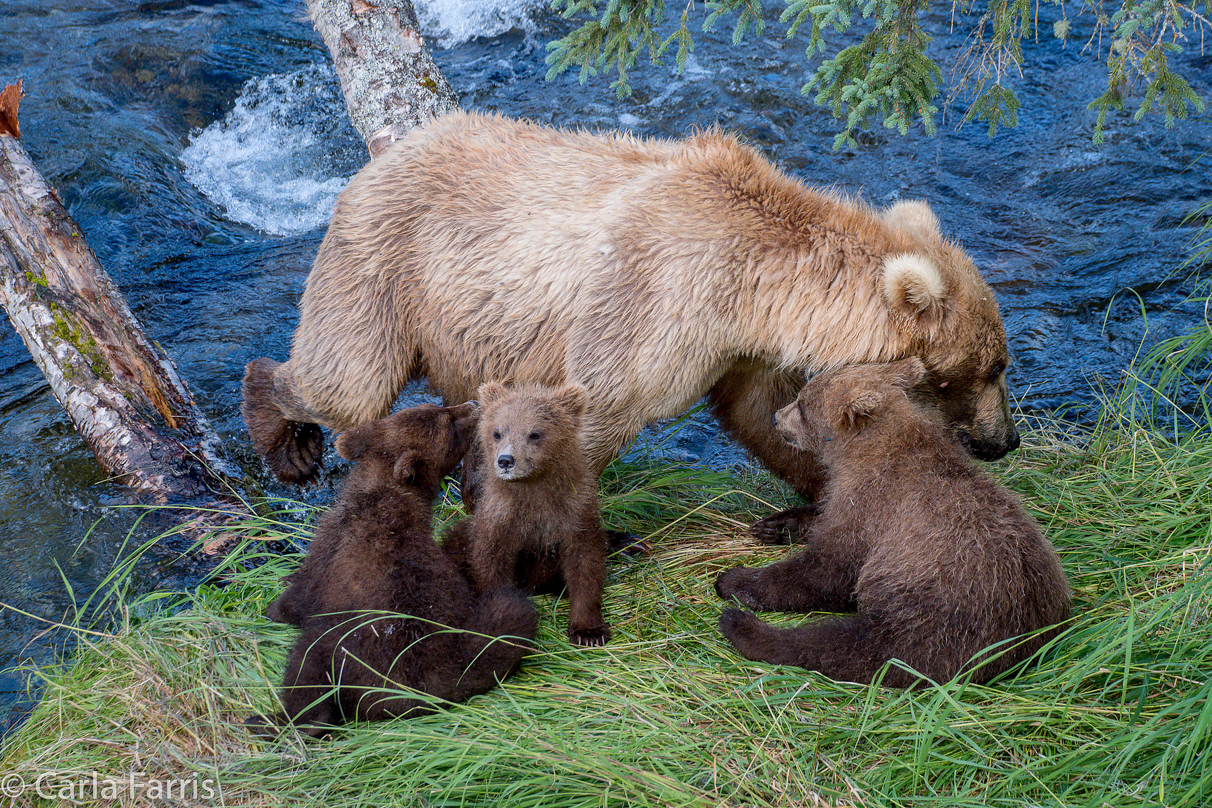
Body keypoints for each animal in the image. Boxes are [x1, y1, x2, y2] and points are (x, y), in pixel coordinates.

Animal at [241, 113, 1018, 530]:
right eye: (988, 371)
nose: (1005, 439)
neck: (755, 288)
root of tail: (381, 155)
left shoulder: (736, 344)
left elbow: (762, 415)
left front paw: (812, 507)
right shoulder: (657, 298)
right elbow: (597, 406)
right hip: (387, 268)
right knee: (349, 379)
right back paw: (284, 433)